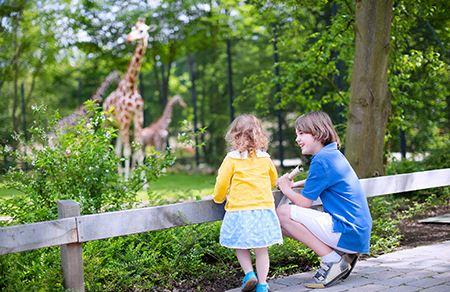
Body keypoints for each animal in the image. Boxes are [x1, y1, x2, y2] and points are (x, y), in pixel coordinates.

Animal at [104, 19, 155, 179]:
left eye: (142, 31)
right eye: (133, 28)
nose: (128, 38)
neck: (131, 86)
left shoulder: (138, 117)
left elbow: (138, 150)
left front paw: (143, 182)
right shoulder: (126, 117)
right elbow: (127, 151)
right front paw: (128, 181)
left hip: (119, 126)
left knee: (116, 150)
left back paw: (119, 179)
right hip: (108, 123)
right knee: (105, 145)